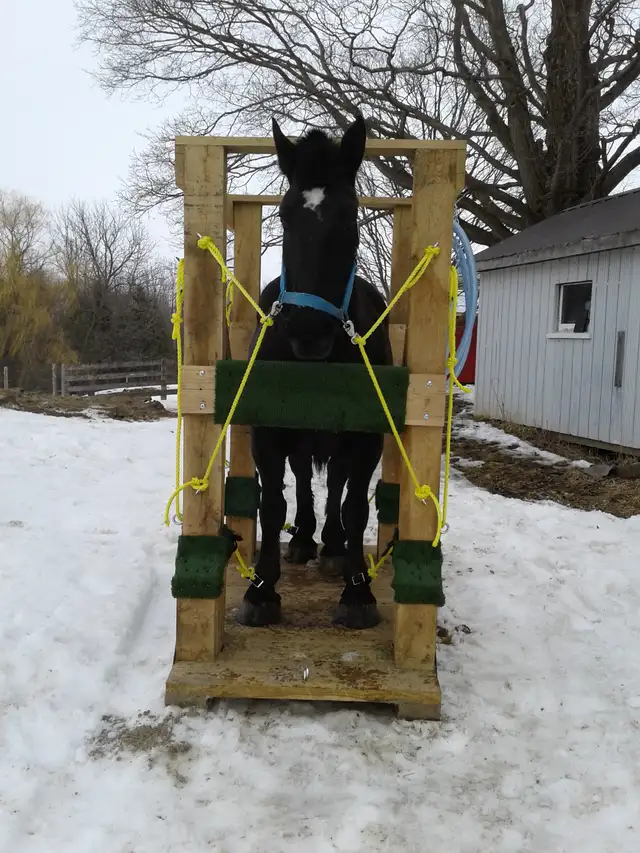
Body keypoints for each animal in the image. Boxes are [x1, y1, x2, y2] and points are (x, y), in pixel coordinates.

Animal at [237, 113, 392, 630]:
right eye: (286, 215)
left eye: (349, 216)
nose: (307, 331)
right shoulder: (267, 432)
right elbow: (272, 504)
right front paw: (261, 589)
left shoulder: (366, 437)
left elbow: (356, 505)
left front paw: (357, 590)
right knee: (304, 478)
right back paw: (305, 538)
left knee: (336, 485)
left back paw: (331, 544)